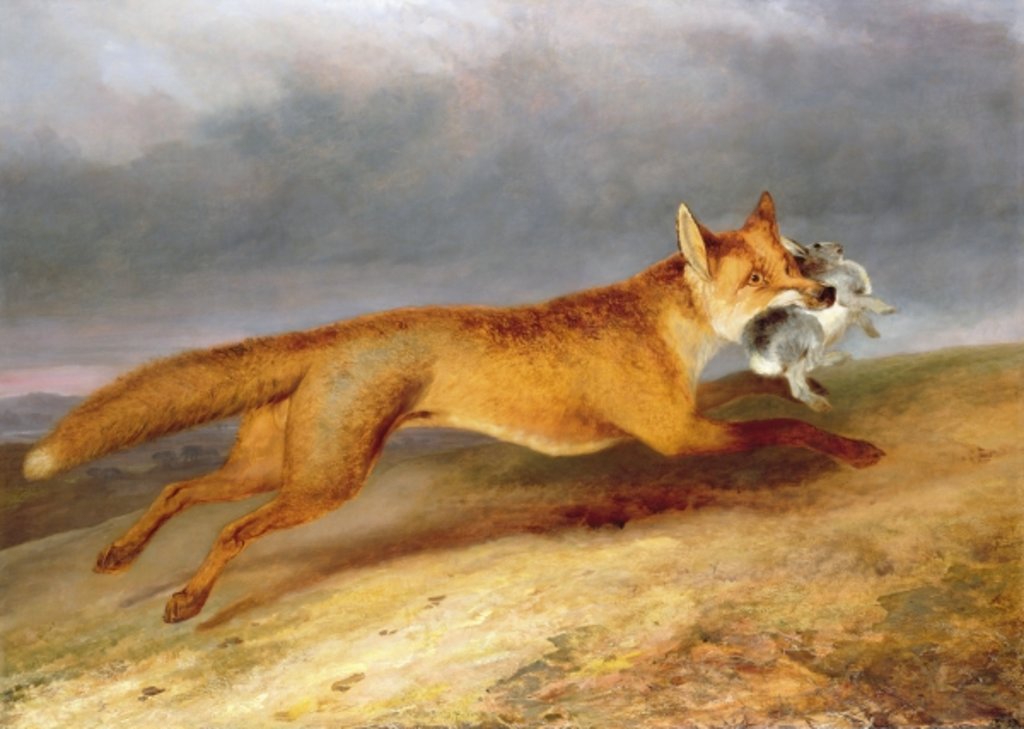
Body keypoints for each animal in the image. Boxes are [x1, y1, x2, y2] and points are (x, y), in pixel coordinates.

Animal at [743, 239, 897, 412]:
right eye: (817, 245)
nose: (839, 247)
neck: (829, 268)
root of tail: (759, 347)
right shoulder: (847, 297)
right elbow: (868, 301)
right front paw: (887, 309)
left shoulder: (853, 309)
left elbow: (862, 316)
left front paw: (873, 333)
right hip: (813, 330)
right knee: (812, 363)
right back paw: (839, 360)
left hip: (798, 357)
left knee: (797, 384)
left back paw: (817, 402)